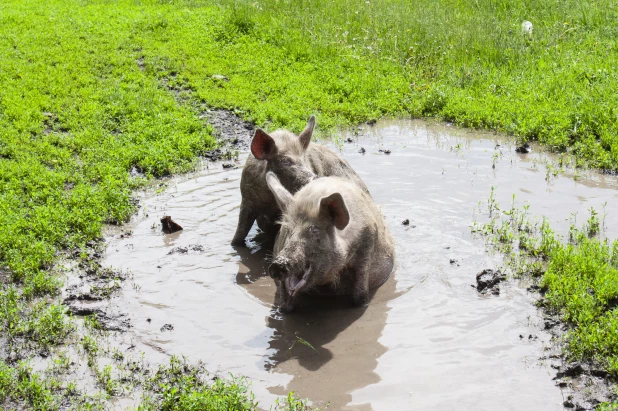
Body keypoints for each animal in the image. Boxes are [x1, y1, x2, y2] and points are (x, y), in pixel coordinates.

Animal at [230, 114, 366, 246]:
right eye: (285, 161)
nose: (315, 177)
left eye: (303, 160)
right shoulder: (247, 200)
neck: (269, 202)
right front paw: (235, 244)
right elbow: (239, 234)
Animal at [264, 171, 390, 312]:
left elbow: (360, 293)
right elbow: (285, 300)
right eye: (287, 229)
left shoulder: (368, 243)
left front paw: (360, 304)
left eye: (314, 230)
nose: (278, 264)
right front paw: (282, 311)